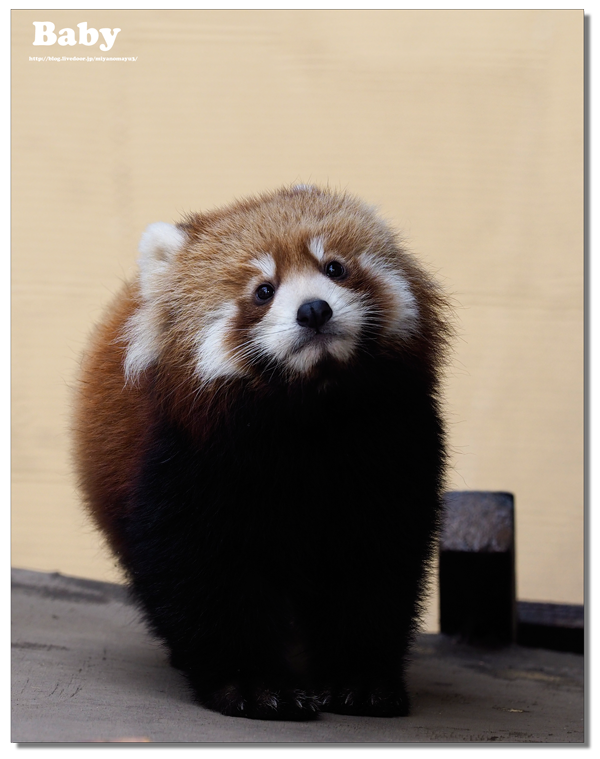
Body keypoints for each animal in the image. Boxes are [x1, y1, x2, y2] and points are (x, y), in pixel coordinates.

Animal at [72, 187, 450, 720]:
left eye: (334, 267)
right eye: (263, 290)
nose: (313, 310)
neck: (308, 417)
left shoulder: (393, 446)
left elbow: (374, 569)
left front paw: (359, 680)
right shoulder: (188, 463)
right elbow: (207, 577)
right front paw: (253, 686)